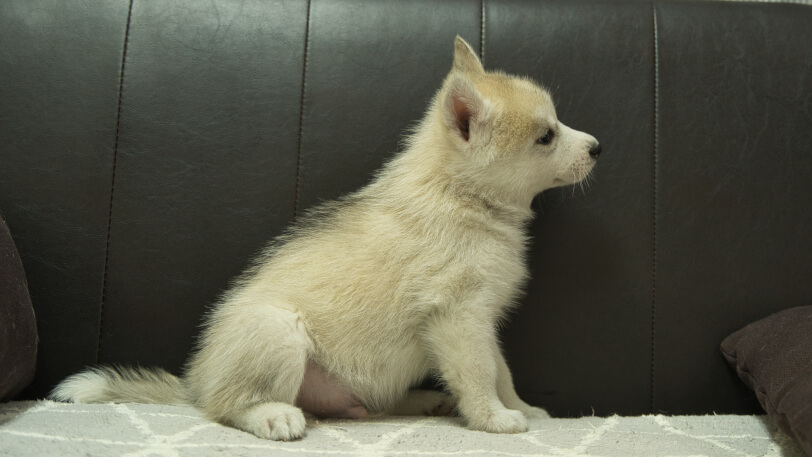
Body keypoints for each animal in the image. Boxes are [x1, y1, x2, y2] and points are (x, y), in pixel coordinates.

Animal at [50, 37, 596, 440]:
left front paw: (522, 406)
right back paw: (271, 414)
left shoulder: (483, 319)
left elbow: (501, 370)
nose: (598, 147)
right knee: (225, 407)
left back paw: (423, 398)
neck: (462, 195)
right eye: (546, 136)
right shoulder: (459, 317)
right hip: (277, 330)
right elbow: (480, 373)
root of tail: (195, 383)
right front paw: (494, 418)